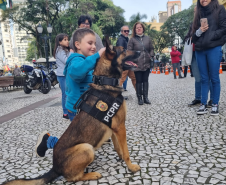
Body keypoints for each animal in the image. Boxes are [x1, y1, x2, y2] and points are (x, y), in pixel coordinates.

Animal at [3, 40, 140, 185]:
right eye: (124, 49)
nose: (140, 52)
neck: (105, 82)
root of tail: (55, 167)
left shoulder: (114, 129)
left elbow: (119, 148)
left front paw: (121, 159)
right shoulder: (120, 127)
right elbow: (126, 151)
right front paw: (131, 167)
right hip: (87, 148)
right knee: (72, 178)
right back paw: (92, 174)